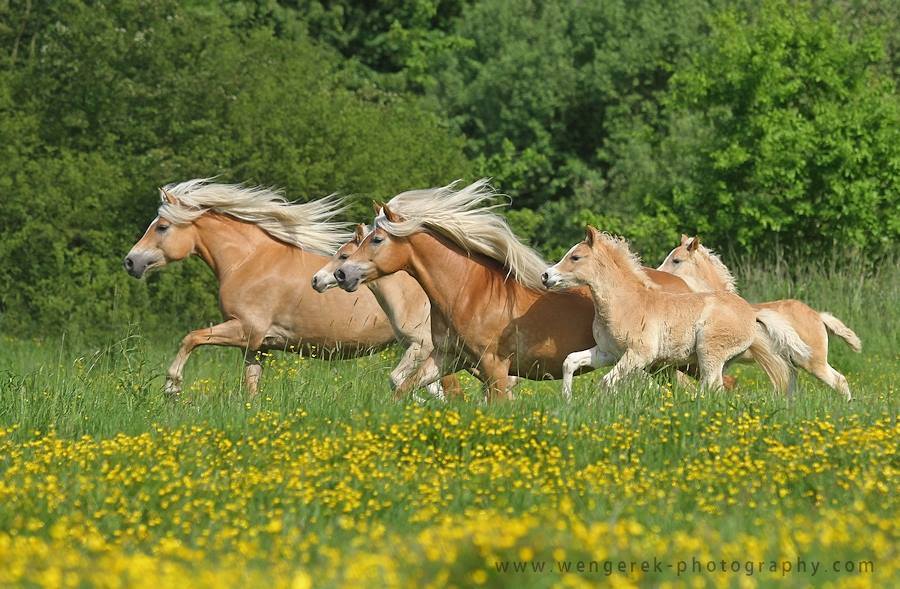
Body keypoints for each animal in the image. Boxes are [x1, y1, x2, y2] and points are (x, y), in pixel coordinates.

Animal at [125, 177, 396, 392]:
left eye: (162, 227)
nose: (130, 261)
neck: (248, 261)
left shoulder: (246, 329)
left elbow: (191, 337)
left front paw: (172, 387)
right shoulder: (257, 347)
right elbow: (251, 386)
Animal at [312, 224, 464, 400]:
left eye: (344, 256)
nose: (316, 280)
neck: (410, 301)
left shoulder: (422, 347)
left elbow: (396, 379)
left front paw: (418, 401)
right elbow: (427, 386)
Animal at [334, 179, 692, 400]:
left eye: (377, 239)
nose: (341, 273)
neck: (469, 292)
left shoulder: (494, 367)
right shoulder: (447, 358)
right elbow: (402, 391)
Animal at [544, 227, 812, 392]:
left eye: (575, 257)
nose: (546, 275)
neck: (626, 303)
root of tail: (751, 312)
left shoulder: (638, 355)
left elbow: (605, 383)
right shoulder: (608, 352)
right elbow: (570, 361)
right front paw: (567, 400)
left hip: (709, 353)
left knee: (711, 387)